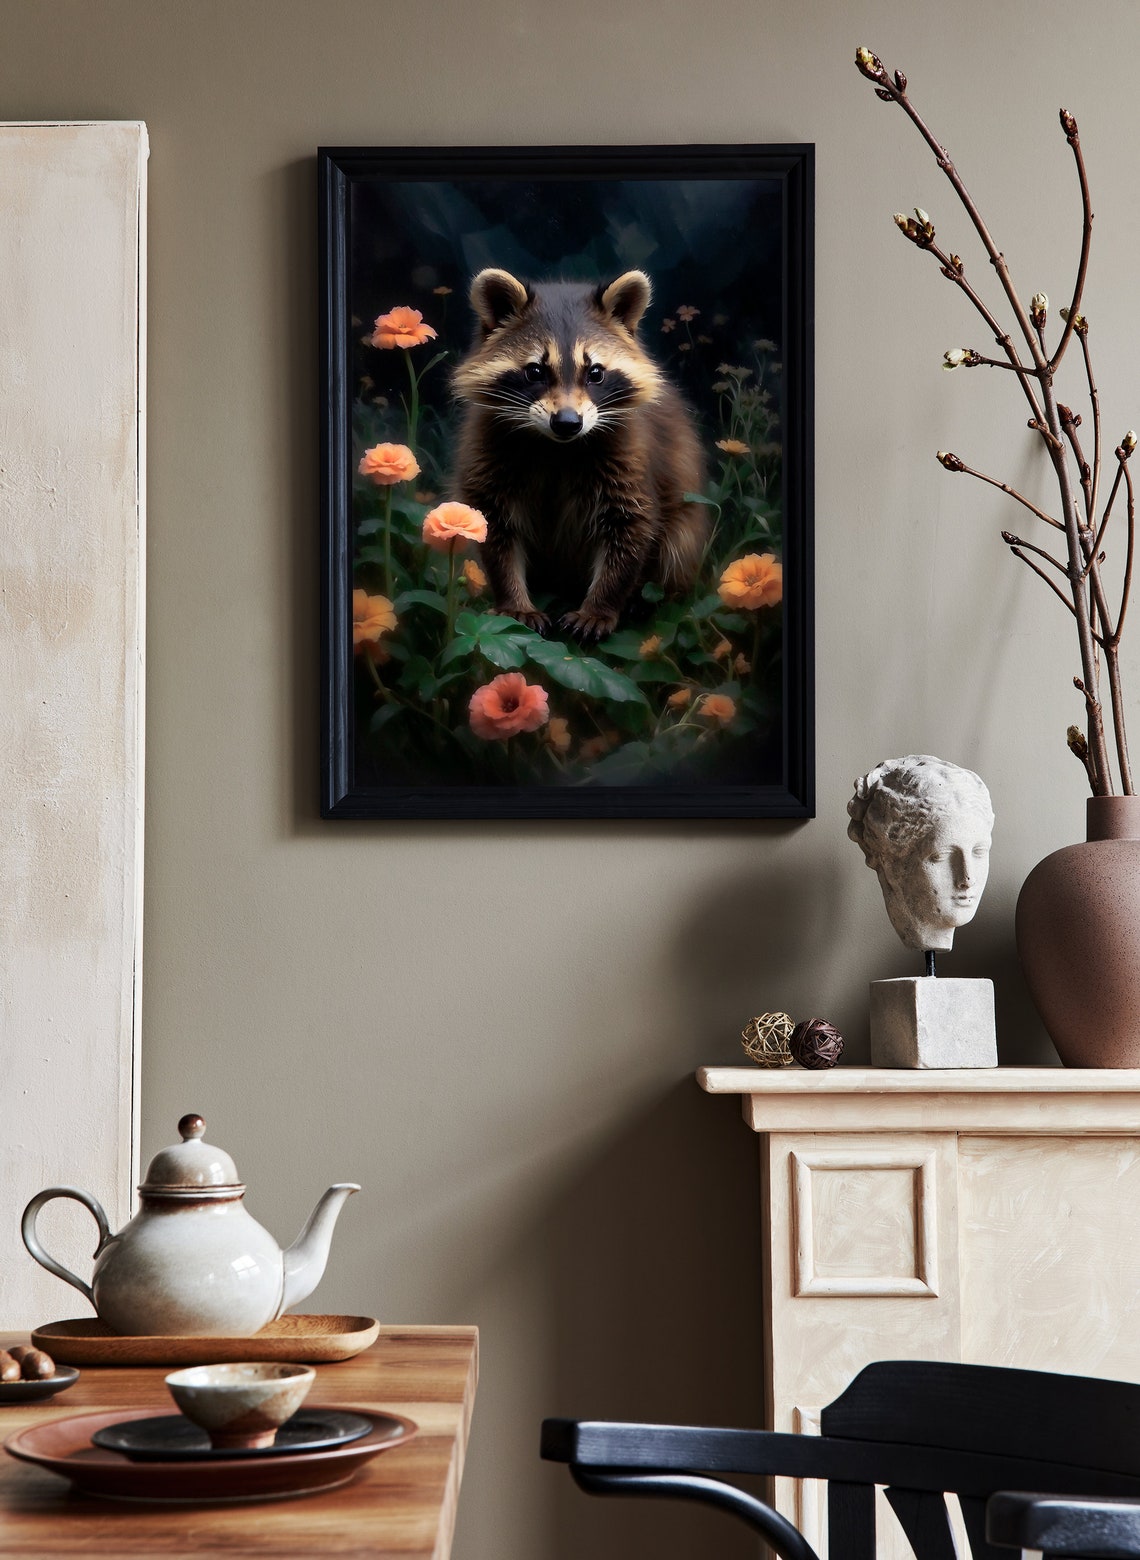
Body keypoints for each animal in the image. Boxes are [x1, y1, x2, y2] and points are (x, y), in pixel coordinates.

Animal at [451, 267, 708, 643]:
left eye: (595, 372)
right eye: (535, 371)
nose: (568, 423)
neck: (557, 447)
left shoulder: (631, 458)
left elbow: (630, 529)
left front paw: (600, 605)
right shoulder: (488, 455)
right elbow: (493, 527)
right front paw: (512, 599)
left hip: (685, 524)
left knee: (680, 543)